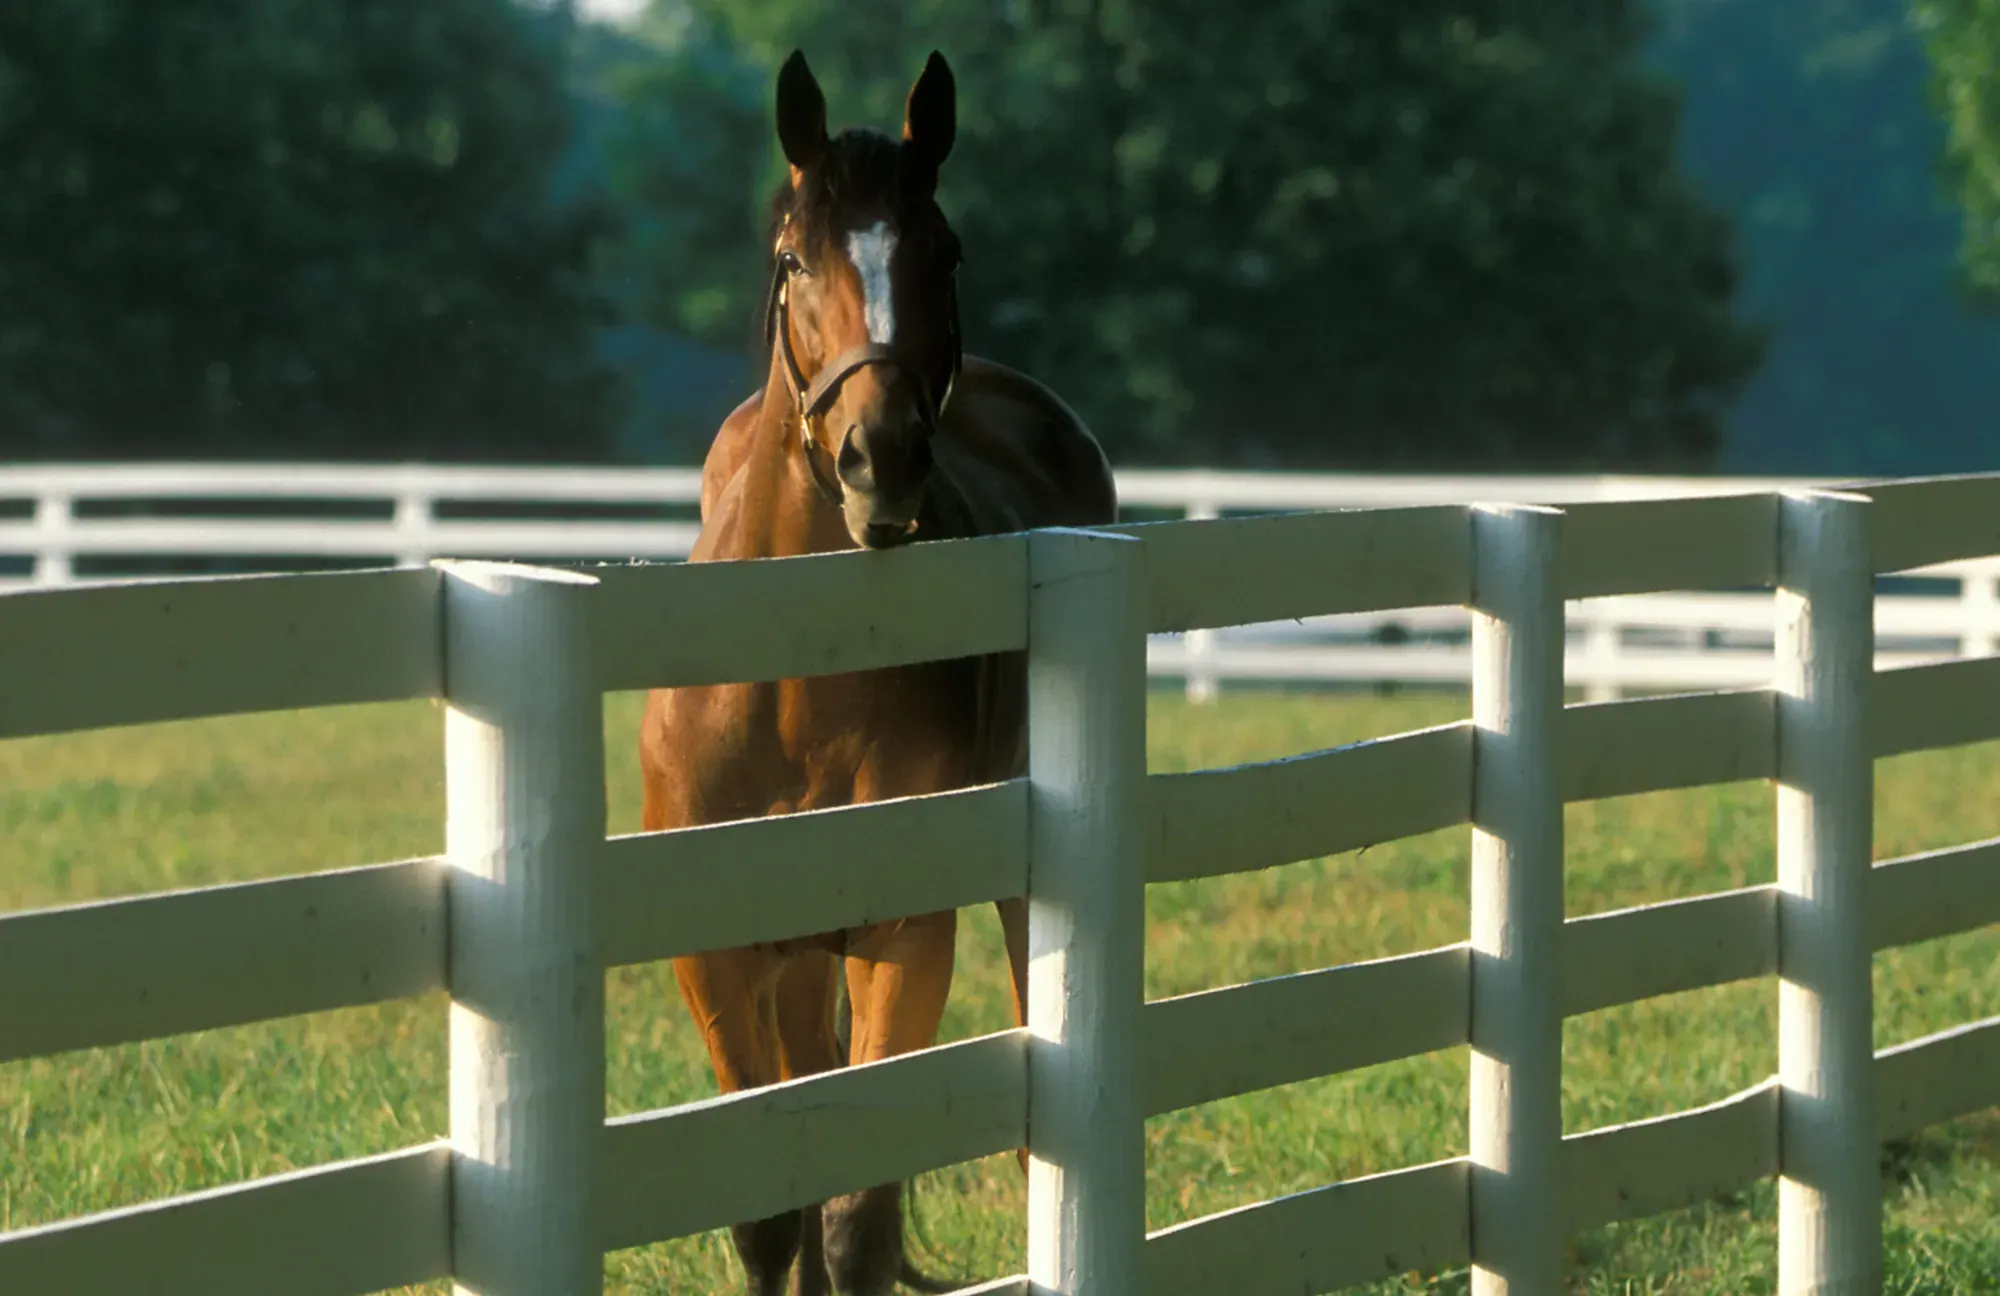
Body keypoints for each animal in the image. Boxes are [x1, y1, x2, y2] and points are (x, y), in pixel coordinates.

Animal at [638, 47, 1118, 1296]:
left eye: (940, 251)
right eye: (791, 258)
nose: (878, 458)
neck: (787, 687)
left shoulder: (903, 936)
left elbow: (859, 1215)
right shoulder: (717, 955)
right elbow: (774, 1215)